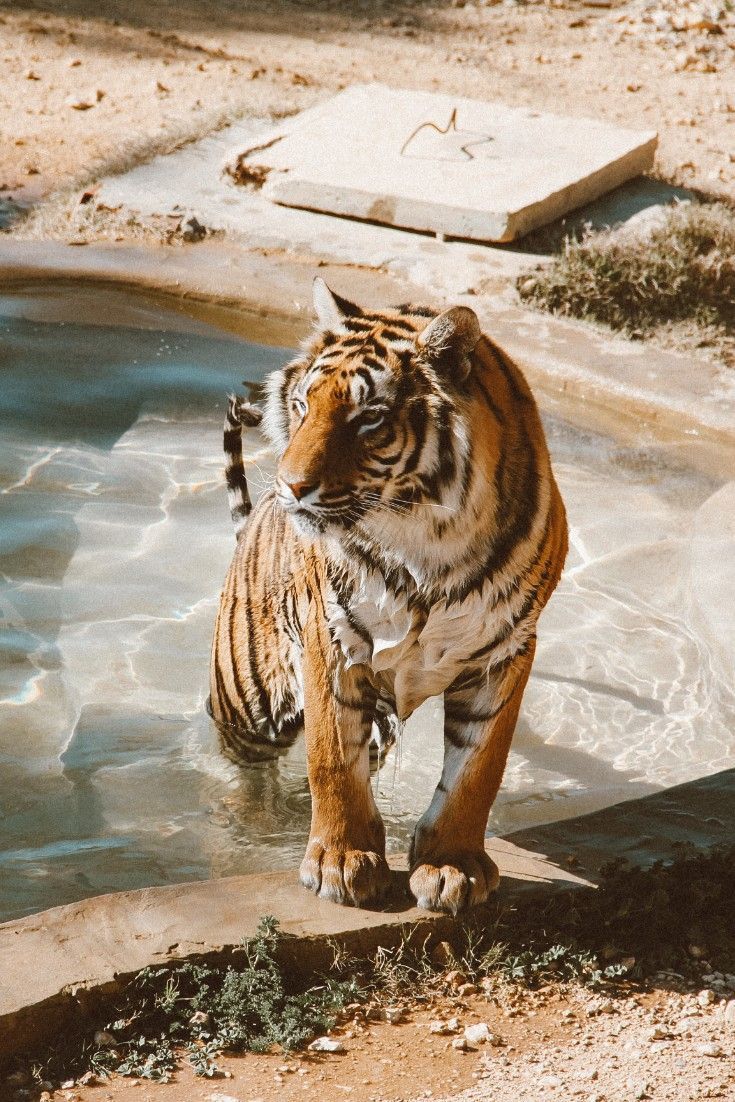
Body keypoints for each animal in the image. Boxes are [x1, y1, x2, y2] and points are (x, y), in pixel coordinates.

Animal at [209, 278, 568, 914]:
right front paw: (340, 861)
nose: (290, 486)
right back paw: (248, 821)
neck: (427, 542)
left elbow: (478, 770)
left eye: (369, 418)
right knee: (241, 768)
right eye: (302, 406)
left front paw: (451, 865)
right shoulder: (330, 640)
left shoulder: (505, 652)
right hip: (247, 702)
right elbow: (332, 759)